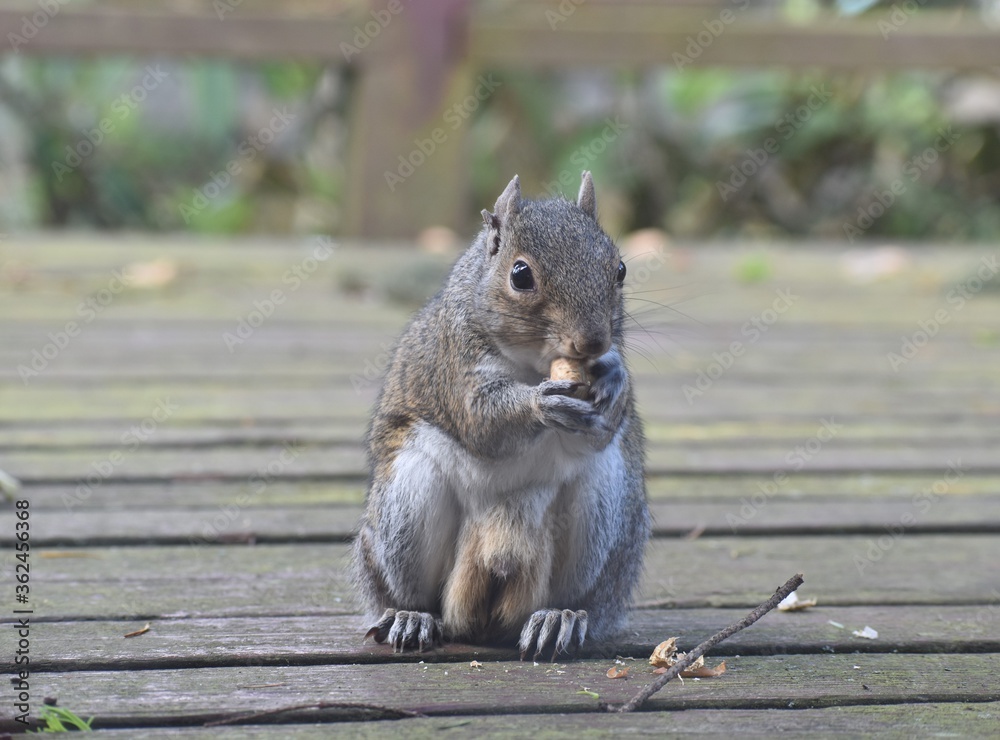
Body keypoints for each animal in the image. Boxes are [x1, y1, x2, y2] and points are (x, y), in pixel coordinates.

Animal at [352, 172, 650, 660]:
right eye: (521, 275)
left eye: (620, 269)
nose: (592, 342)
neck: (533, 366)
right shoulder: (454, 364)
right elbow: (481, 422)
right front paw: (541, 404)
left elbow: (601, 430)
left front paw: (613, 378)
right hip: (405, 498)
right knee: (409, 593)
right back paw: (411, 615)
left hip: (605, 523)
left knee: (578, 597)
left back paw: (559, 617)